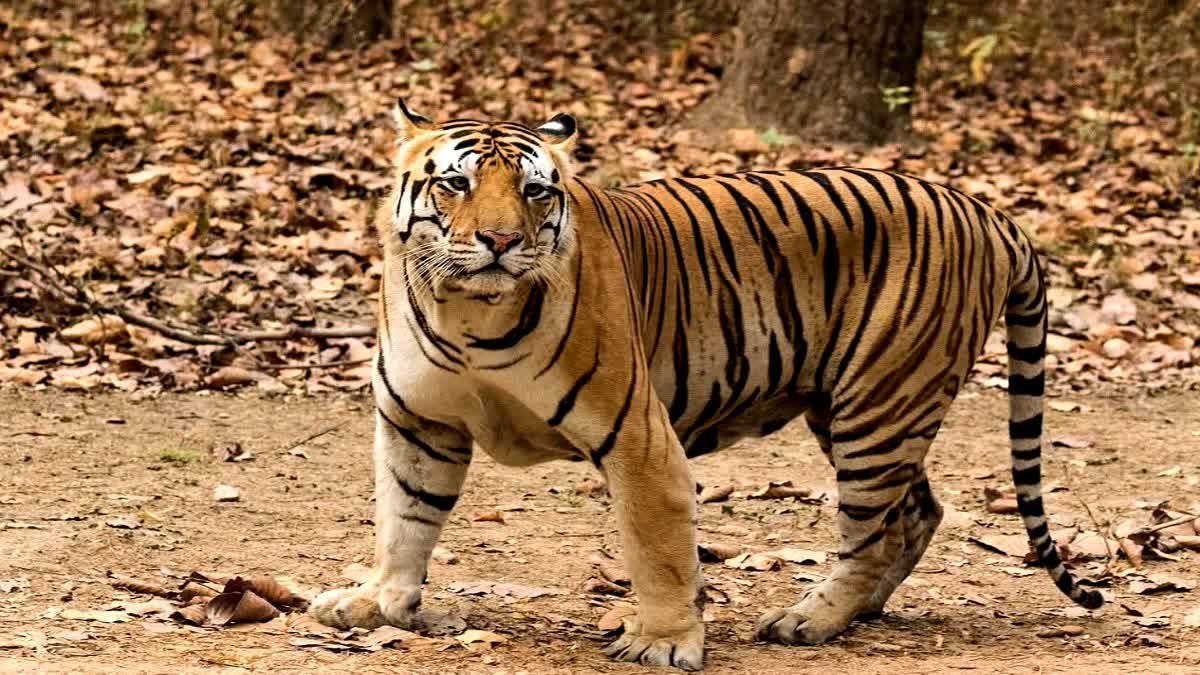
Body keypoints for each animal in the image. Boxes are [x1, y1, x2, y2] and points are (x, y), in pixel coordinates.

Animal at [310, 99, 1103, 670]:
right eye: (456, 183)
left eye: (535, 192)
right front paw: (378, 603)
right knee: (917, 513)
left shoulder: (636, 433)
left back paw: (809, 618)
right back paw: (857, 610)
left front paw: (663, 640)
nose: (501, 242)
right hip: (855, 407)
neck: (467, 311)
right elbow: (403, 521)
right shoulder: (418, 424)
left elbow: (657, 544)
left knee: (872, 531)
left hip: (880, 405)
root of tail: (987, 210)